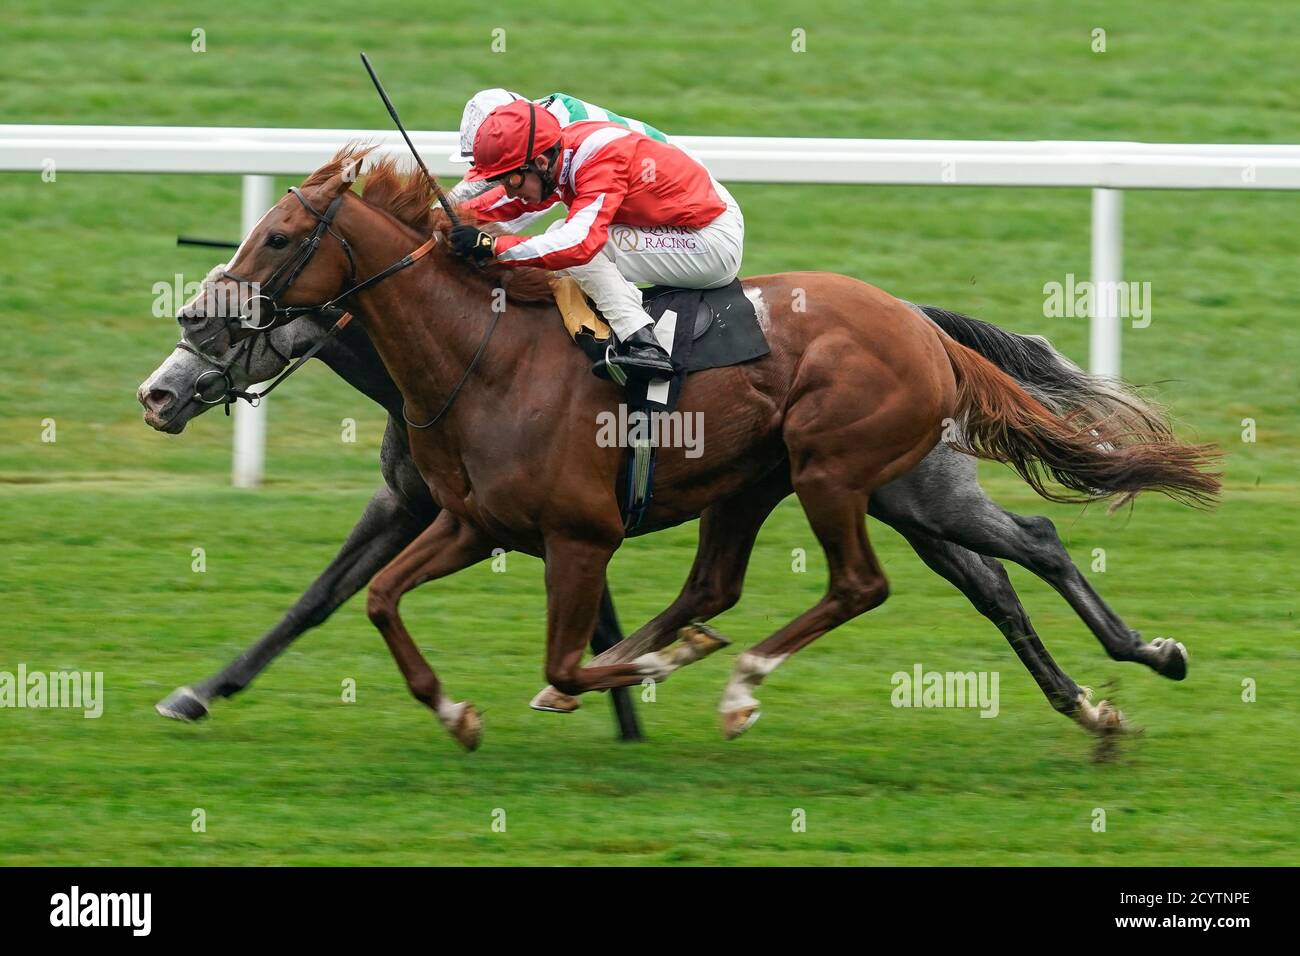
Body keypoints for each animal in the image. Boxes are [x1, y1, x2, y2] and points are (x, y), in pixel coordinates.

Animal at [175, 147, 1216, 749]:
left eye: (277, 238)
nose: (184, 340)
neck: (481, 357)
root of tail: (920, 324)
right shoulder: (470, 522)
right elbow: (373, 599)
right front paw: (456, 709)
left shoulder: (578, 534)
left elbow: (568, 652)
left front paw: (630, 684)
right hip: (826, 487)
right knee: (987, 564)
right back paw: (1110, 689)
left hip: (842, 473)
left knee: (880, 580)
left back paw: (740, 685)